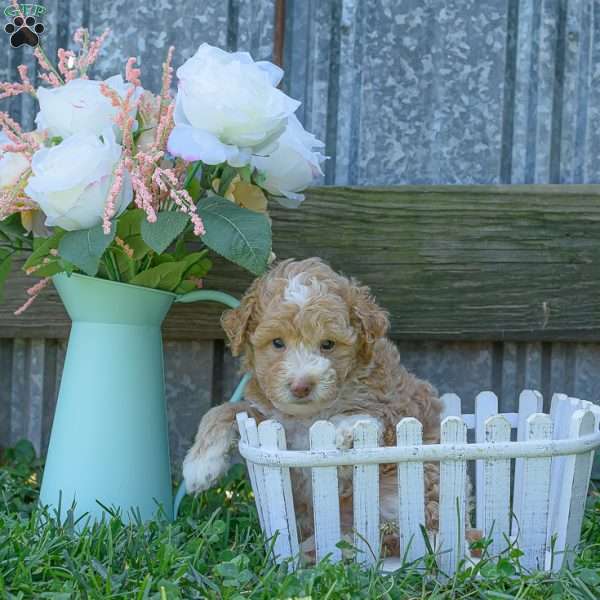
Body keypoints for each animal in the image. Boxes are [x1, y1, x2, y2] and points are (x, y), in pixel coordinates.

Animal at [185, 258, 442, 556]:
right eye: (277, 343)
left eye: (328, 344)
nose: (301, 386)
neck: (307, 415)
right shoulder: (268, 419)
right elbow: (222, 411)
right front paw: (199, 467)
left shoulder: (397, 404)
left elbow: (370, 418)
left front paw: (343, 430)